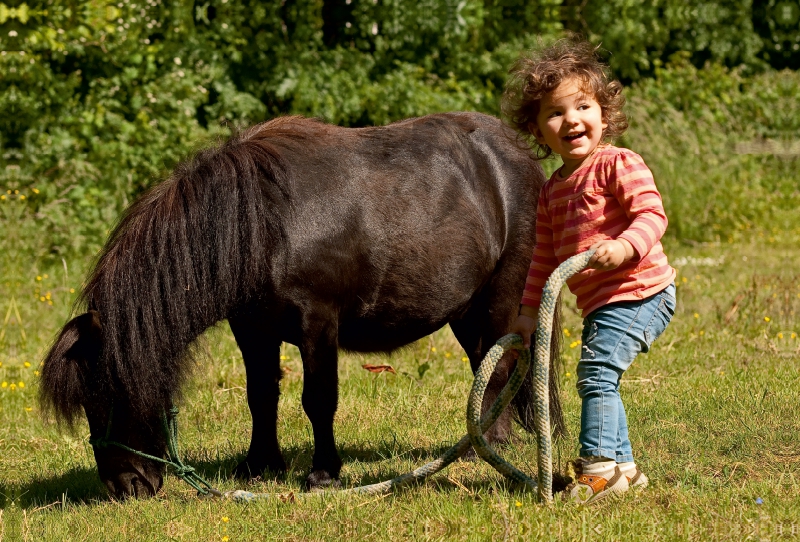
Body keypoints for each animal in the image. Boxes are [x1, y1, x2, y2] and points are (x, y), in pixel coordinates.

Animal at [39, 112, 564, 500]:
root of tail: (518, 157)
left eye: (109, 393)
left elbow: (318, 400)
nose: (125, 487)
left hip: (501, 298)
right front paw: (258, 465)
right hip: (466, 312)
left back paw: (485, 447)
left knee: (501, 366)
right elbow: (261, 396)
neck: (263, 226)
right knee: (488, 363)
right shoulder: (252, 330)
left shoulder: (318, 325)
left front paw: (323, 474)